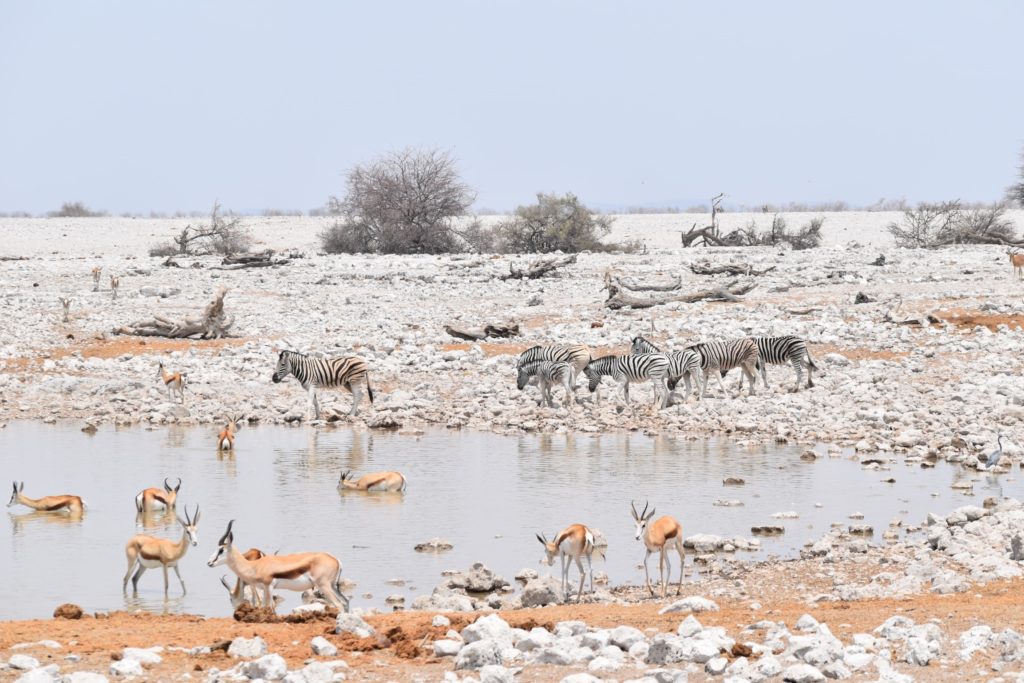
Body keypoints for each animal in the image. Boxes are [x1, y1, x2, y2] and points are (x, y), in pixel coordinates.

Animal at [207, 520, 350, 612]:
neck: (255, 565)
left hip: (324, 585)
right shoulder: (264, 588)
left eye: (221, 550)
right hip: (333, 586)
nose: (209, 563)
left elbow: (269, 607)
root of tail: (336, 559)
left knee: (338, 604)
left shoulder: (269, 587)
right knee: (345, 601)